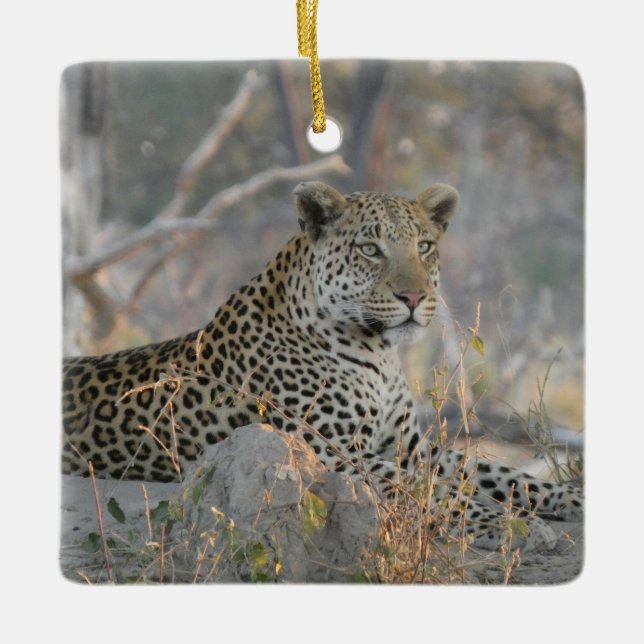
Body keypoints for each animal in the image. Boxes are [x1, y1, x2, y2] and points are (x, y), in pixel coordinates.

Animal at [62, 181, 583, 551]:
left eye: (425, 247)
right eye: (370, 250)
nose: (414, 298)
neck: (379, 355)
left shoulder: (411, 448)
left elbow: (498, 472)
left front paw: (571, 498)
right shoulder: (329, 452)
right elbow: (430, 489)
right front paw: (511, 525)